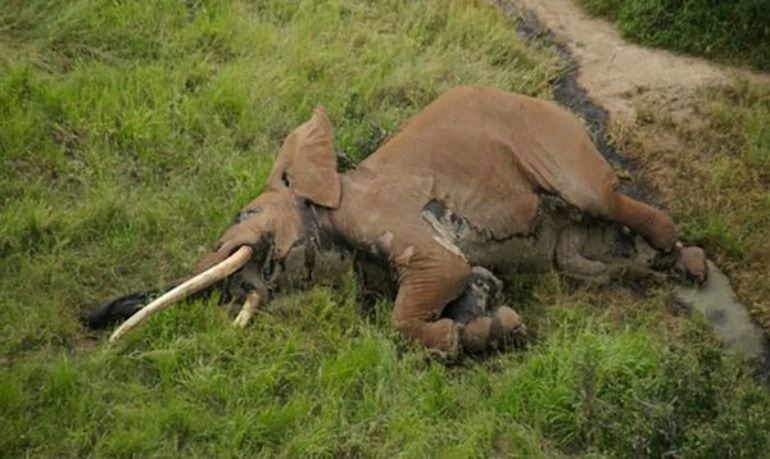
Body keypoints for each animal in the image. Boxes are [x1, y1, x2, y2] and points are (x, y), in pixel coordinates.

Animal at [87, 86, 704, 360]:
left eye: (244, 217)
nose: (92, 321)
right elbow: (472, 280)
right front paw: (493, 327)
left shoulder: (382, 214)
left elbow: (439, 275)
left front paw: (458, 339)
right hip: (570, 246)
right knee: (585, 261)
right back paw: (665, 268)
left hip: (555, 141)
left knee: (601, 197)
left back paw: (684, 261)